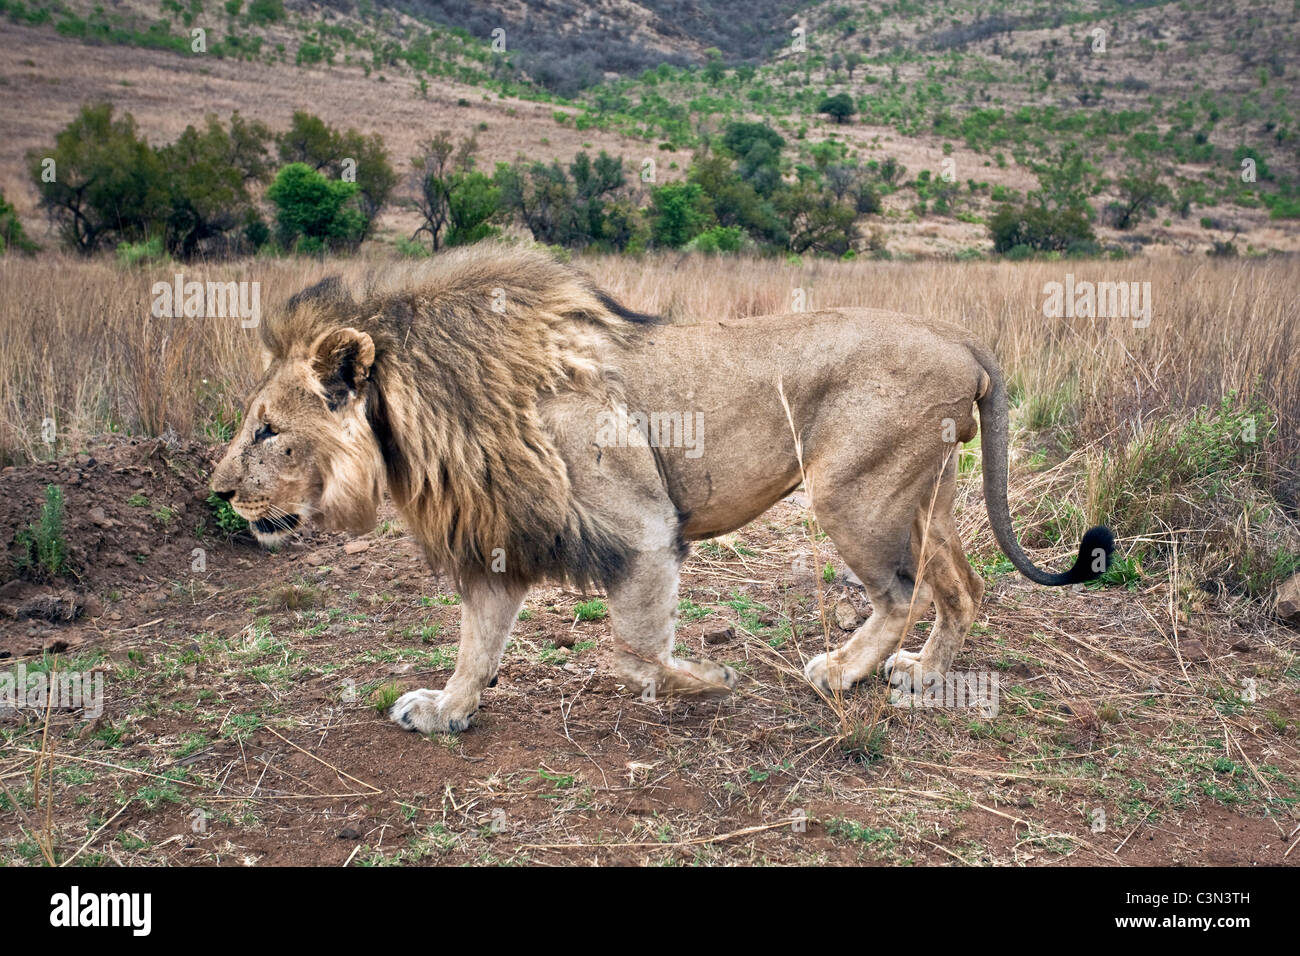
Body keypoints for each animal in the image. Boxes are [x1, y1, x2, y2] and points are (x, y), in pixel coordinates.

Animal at [211, 243, 1113, 734]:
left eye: (266, 430)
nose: (219, 494)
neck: (419, 417)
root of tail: (959, 336)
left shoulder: (641, 527)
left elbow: (635, 649)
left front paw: (705, 683)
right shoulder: (502, 538)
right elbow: (479, 644)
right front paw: (446, 711)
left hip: (852, 494)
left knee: (900, 590)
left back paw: (841, 671)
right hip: (926, 496)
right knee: (961, 587)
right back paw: (924, 676)